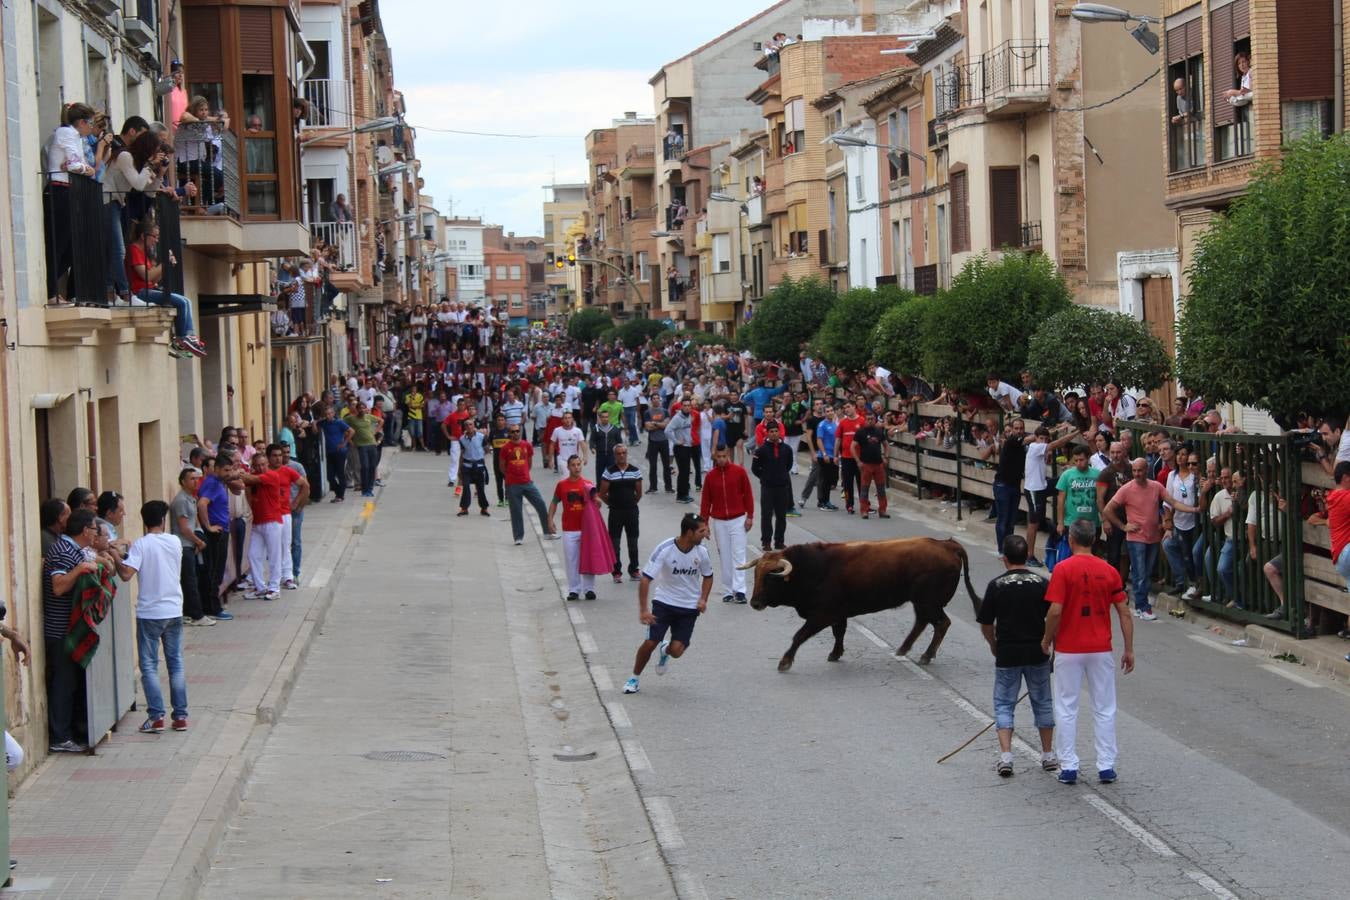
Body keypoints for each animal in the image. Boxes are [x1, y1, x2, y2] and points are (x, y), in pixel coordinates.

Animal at [739, 539, 982, 671]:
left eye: (770, 578)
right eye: (756, 574)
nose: (755, 603)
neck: (813, 568)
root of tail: (946, 544)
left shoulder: (822, 615)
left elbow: (800, 635)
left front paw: (785, 662)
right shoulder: (838, 614)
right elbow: (839, 633)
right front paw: (835, 653)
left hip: (929, 601)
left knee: (942, 623)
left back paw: (926, 655)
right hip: (922, 602)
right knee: (923, 622)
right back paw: (904, 649)